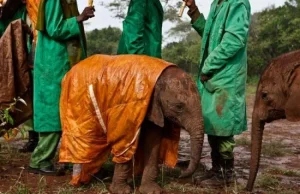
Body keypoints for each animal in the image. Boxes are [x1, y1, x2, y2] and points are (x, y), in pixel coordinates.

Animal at [58, 54, 204, 194]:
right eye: (179, 106)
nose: (180, 175)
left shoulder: (154, 107)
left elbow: (153, 141)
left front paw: (152, 191)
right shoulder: (128, 106)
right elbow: (125, 141)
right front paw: (121, 191)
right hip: (76, 105)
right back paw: (79, 181)